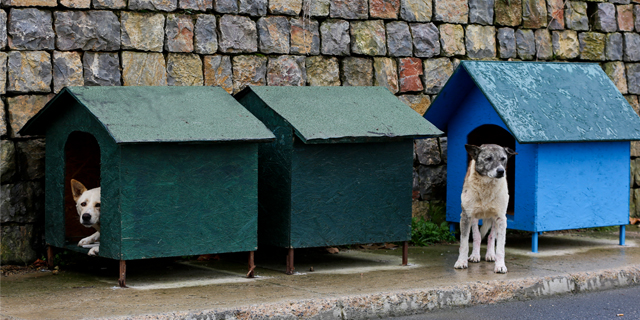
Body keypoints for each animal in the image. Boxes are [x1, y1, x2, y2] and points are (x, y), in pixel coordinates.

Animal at [456, 144, 516, 272]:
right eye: (488, 158)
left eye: (503, 159)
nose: (501, 171)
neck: (487, 186)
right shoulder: (466, 216)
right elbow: (464, 243)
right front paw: (461, 262)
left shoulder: (501, 218)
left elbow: (500, 246)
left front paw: (500, 265)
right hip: (474, 217)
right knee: (477, 236)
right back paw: (475, 255)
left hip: (493, 219)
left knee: (491, 236)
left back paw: (490, 254)